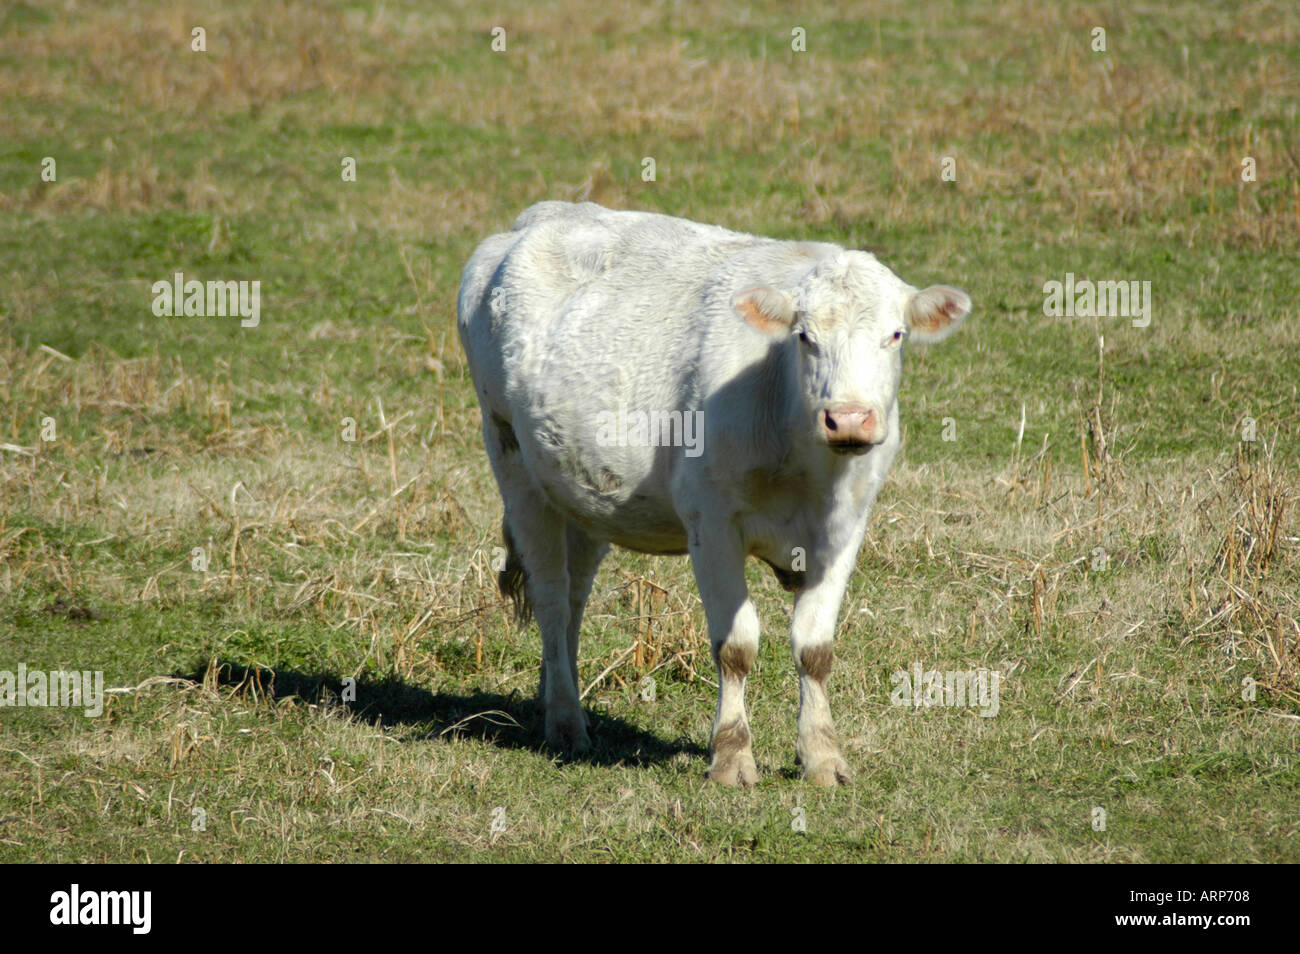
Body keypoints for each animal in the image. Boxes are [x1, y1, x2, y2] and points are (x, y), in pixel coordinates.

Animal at [457, 200, 967, 785]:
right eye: (804, 337)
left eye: (896, 335)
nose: (849, 419)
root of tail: (541, 216)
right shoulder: (712, 523)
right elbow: (735, 645)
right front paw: (731, 755)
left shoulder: (846, 527)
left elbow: (815, 648)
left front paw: (822, 756)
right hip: (513, 464)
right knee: (551, 597)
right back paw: (565, 723)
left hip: (580, 494)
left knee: (575, 595)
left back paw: (555, 702)